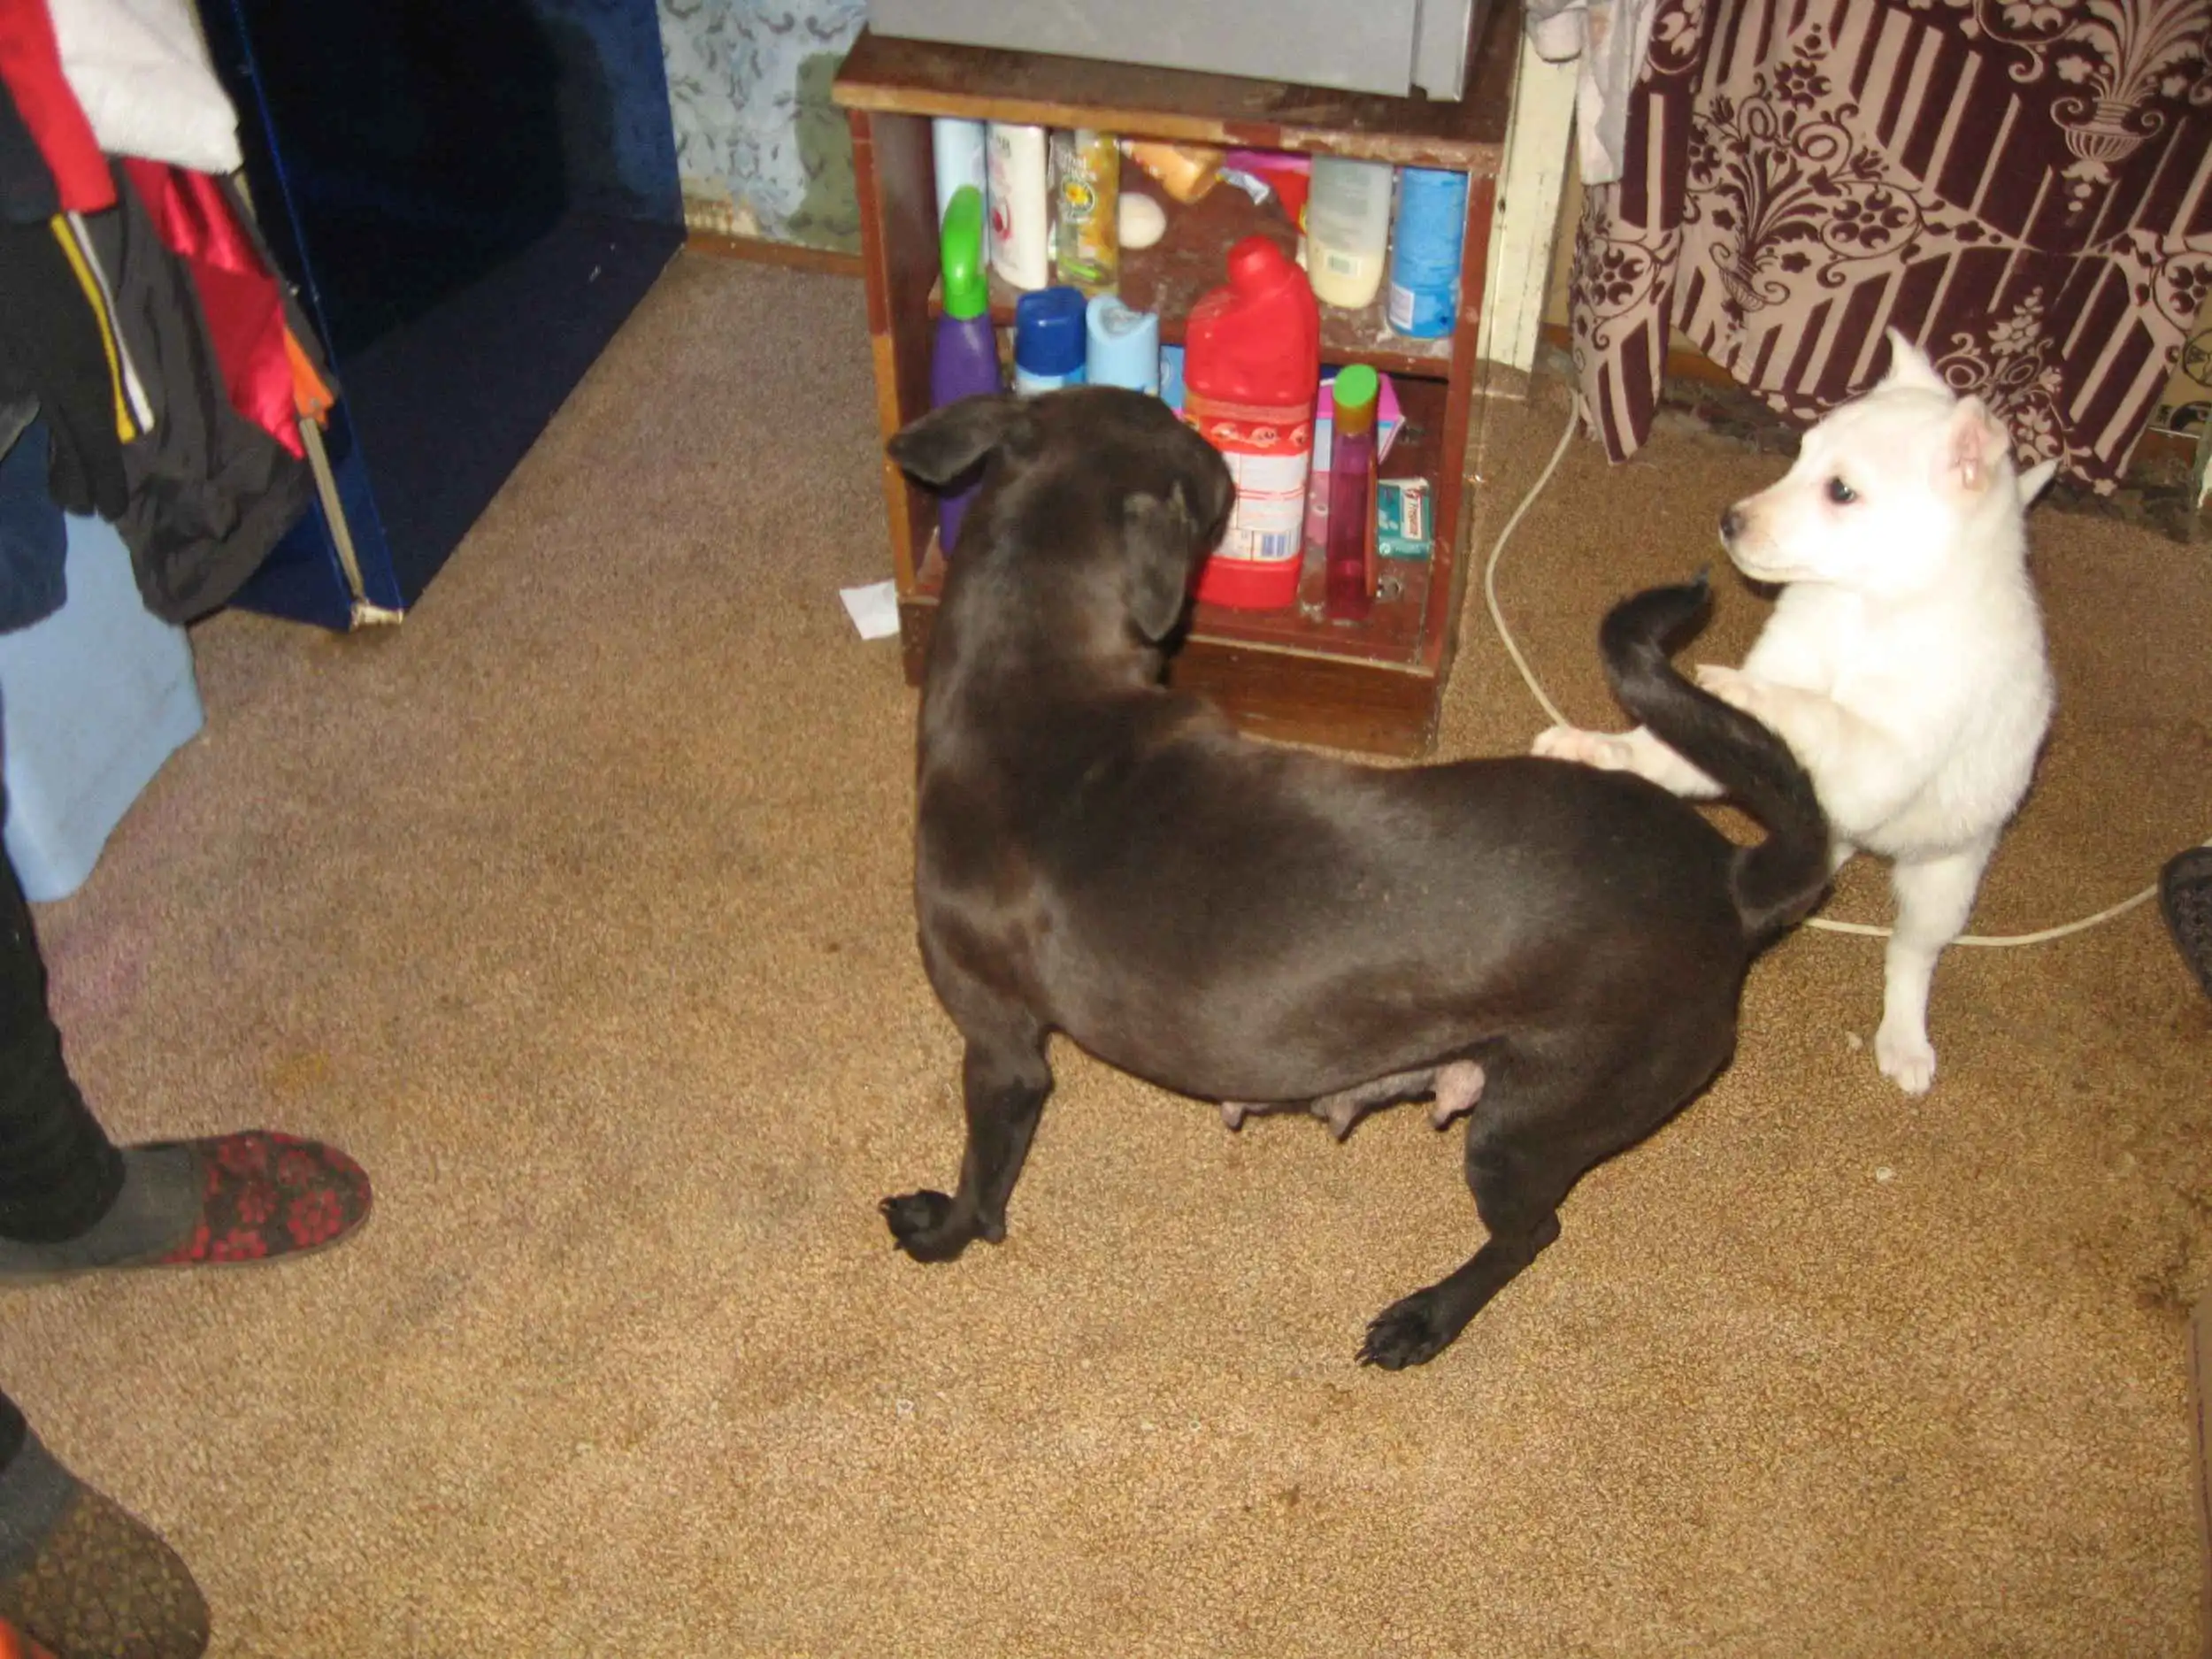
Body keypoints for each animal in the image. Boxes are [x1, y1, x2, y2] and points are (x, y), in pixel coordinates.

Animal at [880, 386, 1829, 1369]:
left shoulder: (1001, 1050)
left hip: (1532, 1120)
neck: (1032, 682)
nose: (1223, 450)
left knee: (1531, 1234)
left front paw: (940, 1231)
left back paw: (1426, 1318)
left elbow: (982, 1182)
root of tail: (1732, 880)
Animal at [1535, 331, 2058, 1096]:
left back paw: (1904, 1040)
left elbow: (1822, 714)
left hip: (1947, 875)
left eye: (1841, 490)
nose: (1729, 520)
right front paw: (1600, 746)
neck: (1863, 608)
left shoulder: (1890, 750)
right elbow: (1671, 748)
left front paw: (1736, 688)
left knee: (1912, 956)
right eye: (1802, 453)